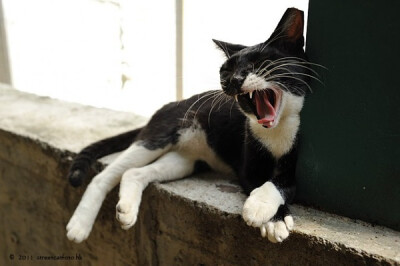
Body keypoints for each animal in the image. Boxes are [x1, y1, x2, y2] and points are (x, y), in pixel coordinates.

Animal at [67, 7, 314, 244]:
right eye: (226, 71)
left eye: (259, 63)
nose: (234, 80)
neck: (276, 132)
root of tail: (173, 103)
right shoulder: (248, 162)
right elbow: (260, 181)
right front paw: (270, 217)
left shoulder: (295, 161)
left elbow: (283, 182)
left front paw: (266, 212)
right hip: (156, 137)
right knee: (105, 175)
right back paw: (79, 225)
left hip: (184, 161)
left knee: (134, 173)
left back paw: (126, 210)